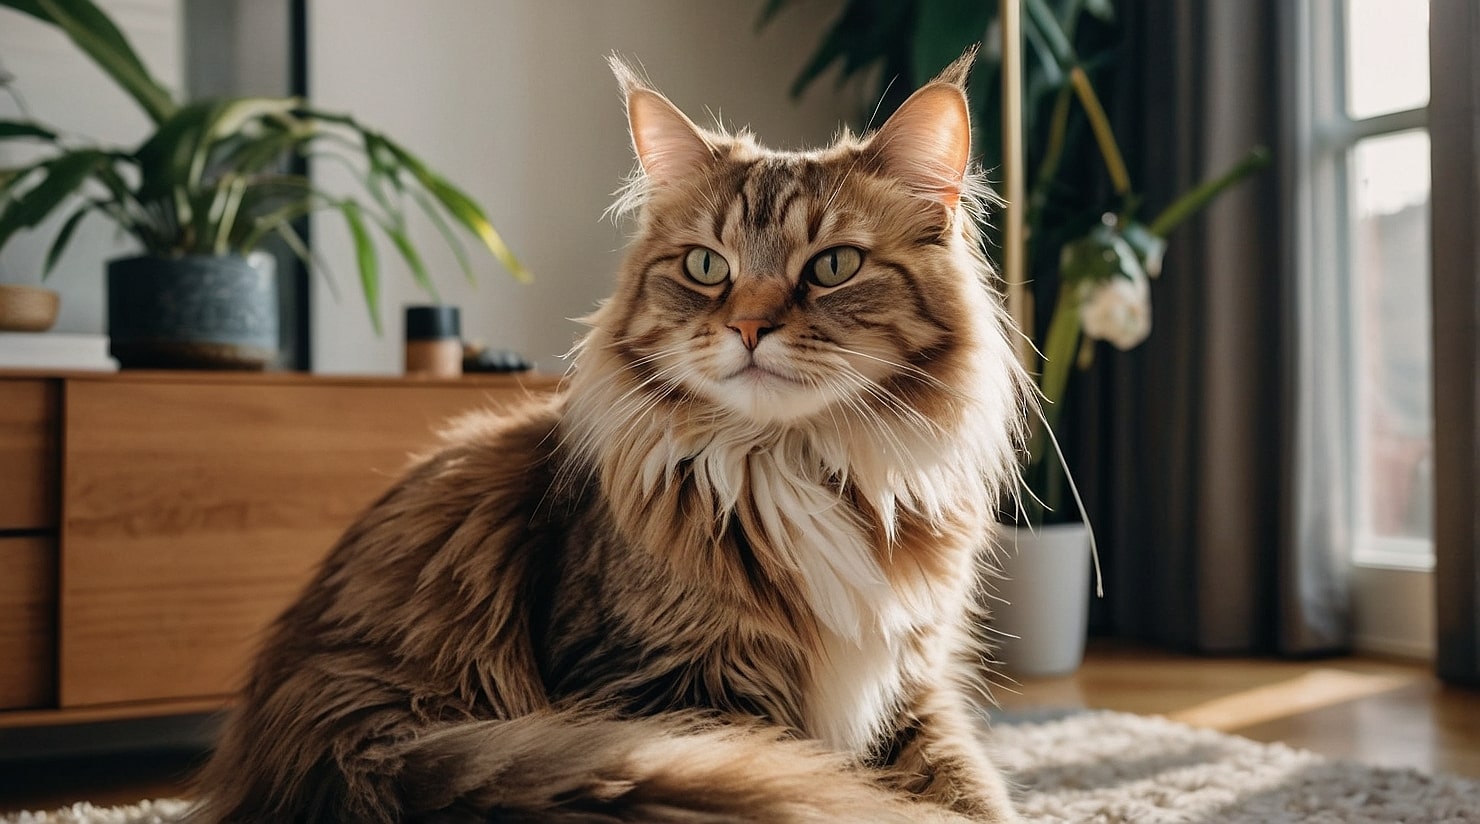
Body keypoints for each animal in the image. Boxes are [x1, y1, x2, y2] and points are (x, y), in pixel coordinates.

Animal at [187, 52, 1030, 822]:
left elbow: (977, 797)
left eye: (834, 266)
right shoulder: (670, 688)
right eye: (705, 267)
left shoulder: (911, 686)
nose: (749, 327)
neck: (792, 466)